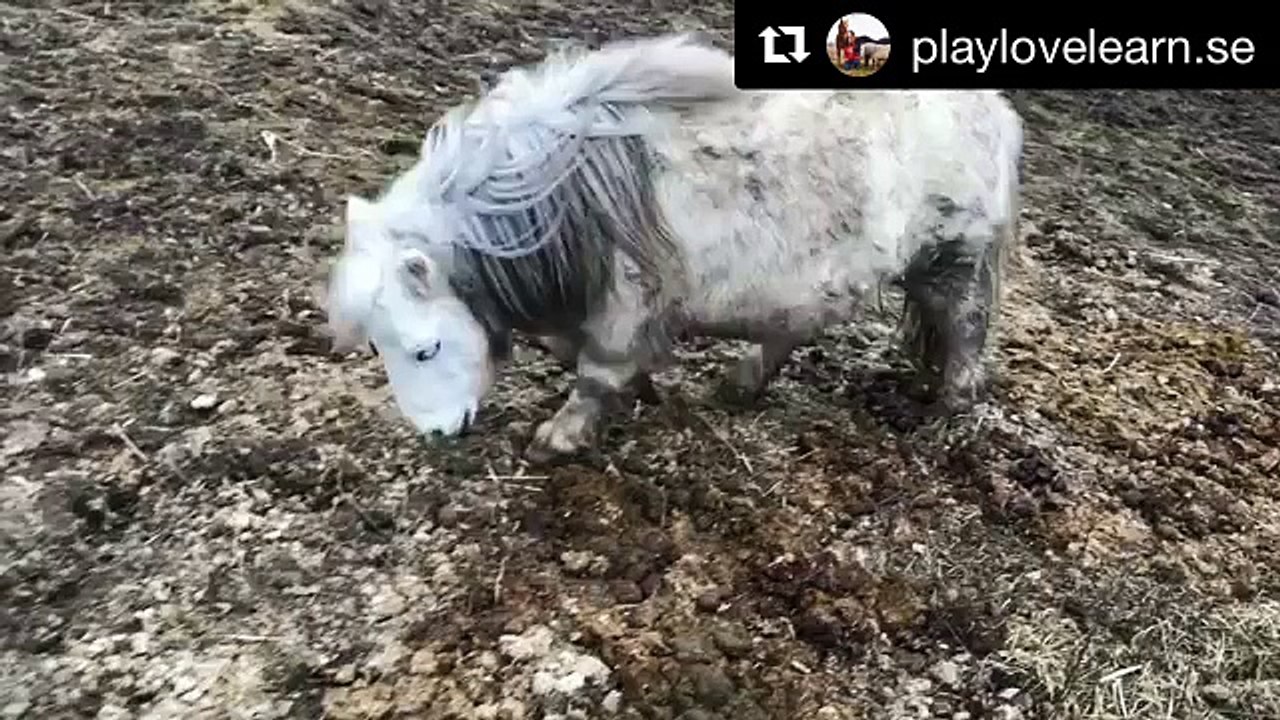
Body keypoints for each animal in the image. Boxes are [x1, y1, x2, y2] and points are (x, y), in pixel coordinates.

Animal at [322, 32, 1024, 463]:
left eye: (425, 349)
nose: (438, 434)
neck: (569, 187)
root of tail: (996, 111)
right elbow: (579, 352)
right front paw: (641, 388)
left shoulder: (629, 292)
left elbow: (596, 368)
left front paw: (560, 437)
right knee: (798, 326)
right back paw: (743, 383)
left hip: (954, 259)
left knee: (964, 329)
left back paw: (950, 412)